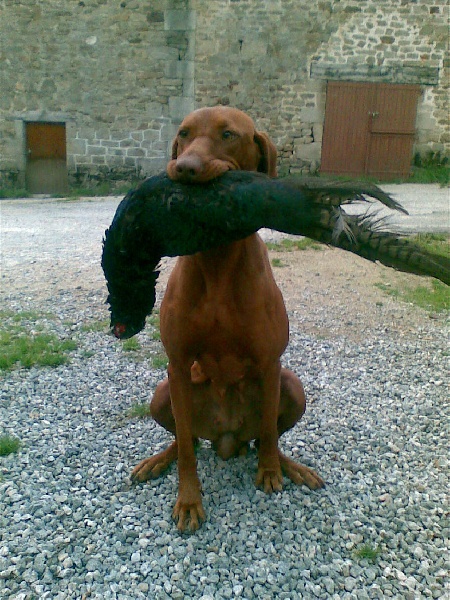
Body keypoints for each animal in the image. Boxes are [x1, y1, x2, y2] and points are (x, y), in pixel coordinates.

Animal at [132, 106, 324, 531]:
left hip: (291, 386)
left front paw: (270, 472)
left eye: (228, 135)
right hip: (164, 392)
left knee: (266, 436)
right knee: (183, 439)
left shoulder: (270, 363)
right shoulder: (177, 364)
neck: (217, 260)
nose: (184, 168)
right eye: (184, 133)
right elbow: (187, 451)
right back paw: (158, 460)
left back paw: (287, 466)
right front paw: (188, 500)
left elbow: (269, 431)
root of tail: (227, 442)